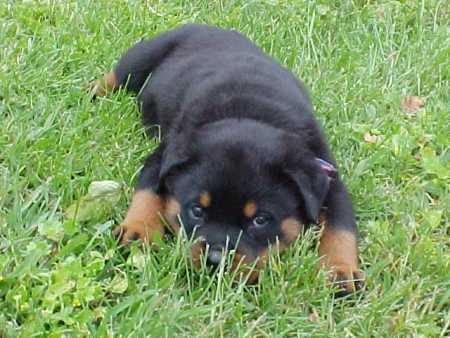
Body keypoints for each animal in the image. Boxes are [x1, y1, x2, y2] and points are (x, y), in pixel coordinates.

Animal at [89, 23, 364, 294]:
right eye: (197, 210)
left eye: (260, 220)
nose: (214, 260)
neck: (251, 113)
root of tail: (207, 26)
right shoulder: (162, 156)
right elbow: (148, 190)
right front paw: (138, 231)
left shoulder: (328, 177)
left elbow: (341, 225)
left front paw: (340, 273)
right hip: (144, 56)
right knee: (117, 75)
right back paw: (93, 92)